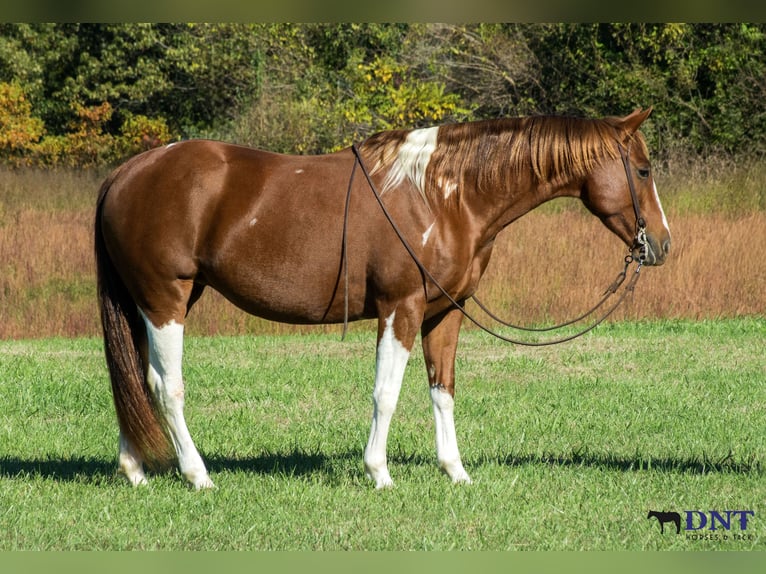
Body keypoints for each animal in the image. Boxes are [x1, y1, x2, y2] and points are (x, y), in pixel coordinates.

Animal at [95, 108, 671, 490]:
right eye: (643, 170)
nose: (662, 244)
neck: (444, 195)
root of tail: (127, 172)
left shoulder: (445, 313)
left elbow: (443, 390)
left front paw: (455, 472)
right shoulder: (402, 307)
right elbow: (386, 393)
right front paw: (379, 473)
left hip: (150, 304)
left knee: (134, 378)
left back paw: (136, 471)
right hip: (165, 300)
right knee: (165, 386)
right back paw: (197, 476)